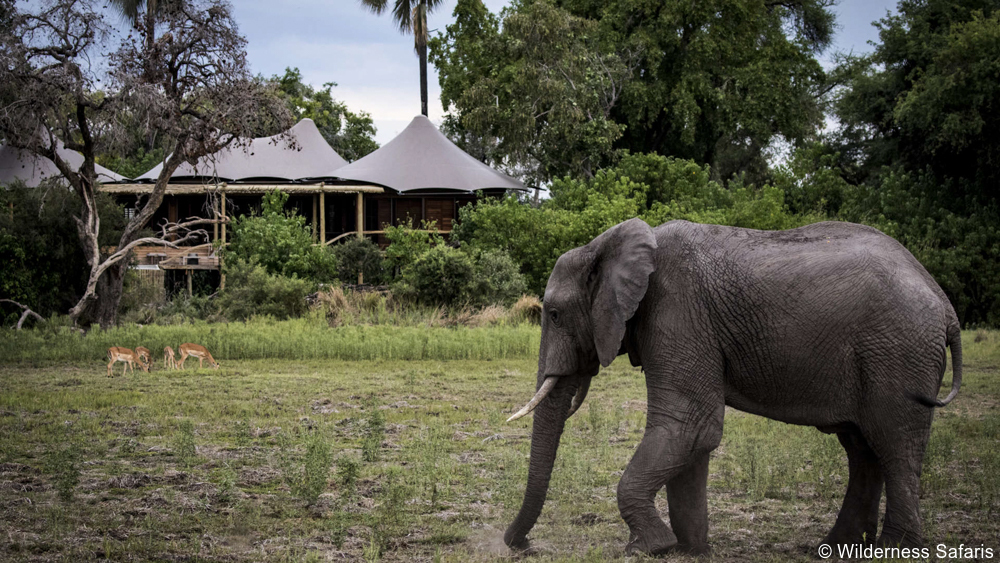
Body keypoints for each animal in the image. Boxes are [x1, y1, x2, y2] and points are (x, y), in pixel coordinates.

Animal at [504, 219, 964, 556]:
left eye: (554, 314)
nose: (520, 545)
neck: (606, 243)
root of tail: (943, 301)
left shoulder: (677, 311)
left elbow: (689, 427)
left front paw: (648, 548)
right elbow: (693, 437)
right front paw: (689, 550)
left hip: (899, 352)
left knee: (894, 443)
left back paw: (894, 549)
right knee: (862, 449)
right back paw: (836, 548)